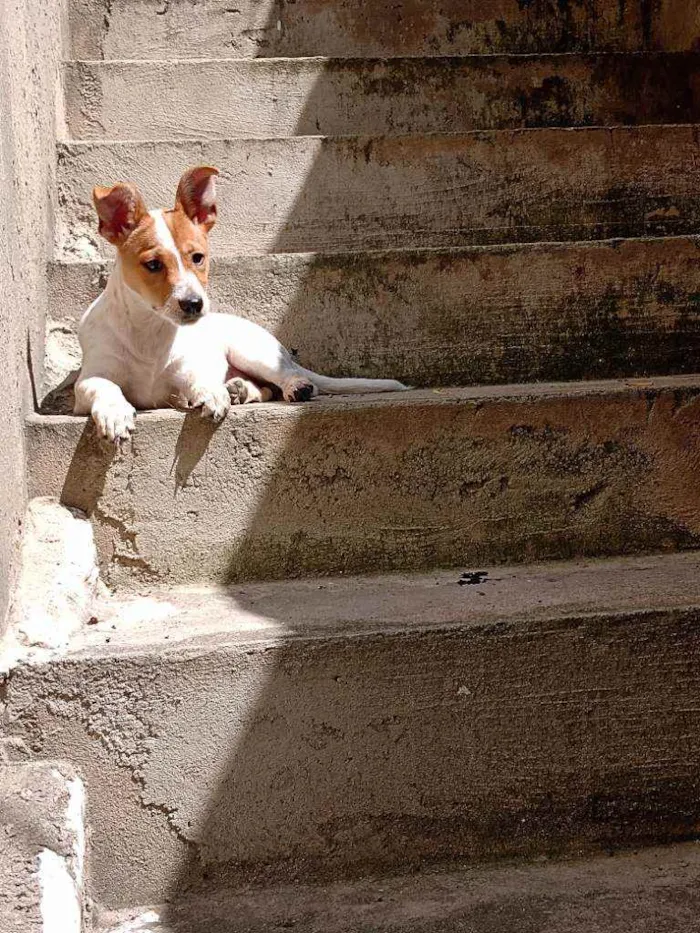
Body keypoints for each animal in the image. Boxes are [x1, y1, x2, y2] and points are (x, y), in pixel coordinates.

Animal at [74, 166, 408, 442]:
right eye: (153, 265)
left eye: (198, 257)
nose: (194, 304)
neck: (150, 330)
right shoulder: (87, 382)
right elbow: (105, 386)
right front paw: (115, 413)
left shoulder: (190, 368)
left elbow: (200, 378)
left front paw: (211, 392)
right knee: (265, 388)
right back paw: (239, 389)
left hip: (252, 351)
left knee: (283, 378)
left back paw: (290, 387)